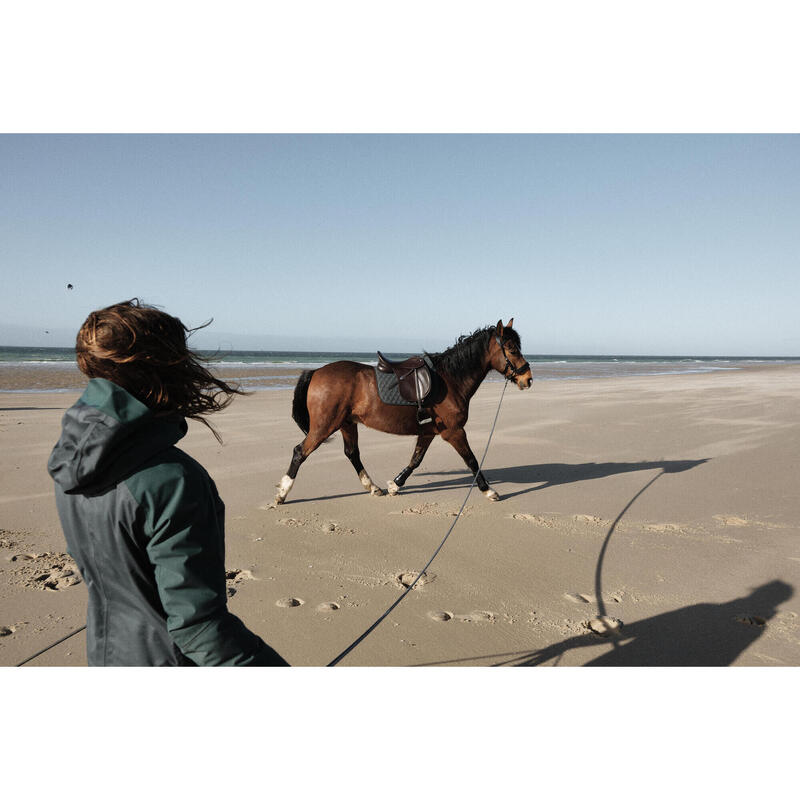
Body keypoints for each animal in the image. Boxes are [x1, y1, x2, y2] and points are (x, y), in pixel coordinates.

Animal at [274, 320, 532, 504]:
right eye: (511, 348)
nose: (527, 379)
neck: (450, 380)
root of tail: (317, 371)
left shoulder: (429, 431)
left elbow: (416, 460)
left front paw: (395, 484)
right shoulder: (454, 431)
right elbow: (472, 460)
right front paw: (489, 491)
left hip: (347, 423)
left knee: (352, 453)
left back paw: (373, 487)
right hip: (324, 426)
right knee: (300, 452)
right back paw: (282, 493)